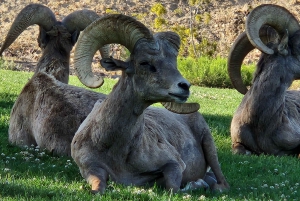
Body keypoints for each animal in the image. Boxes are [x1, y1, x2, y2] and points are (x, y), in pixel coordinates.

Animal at [71, 13, 230, 193]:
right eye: (144, 63)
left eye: (174, 63)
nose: (184, 86)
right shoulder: (91, 170)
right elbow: (97, 189)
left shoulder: (174, 164)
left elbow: (173, 188)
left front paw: (194, 185)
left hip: (209, 145)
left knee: (221, 185)